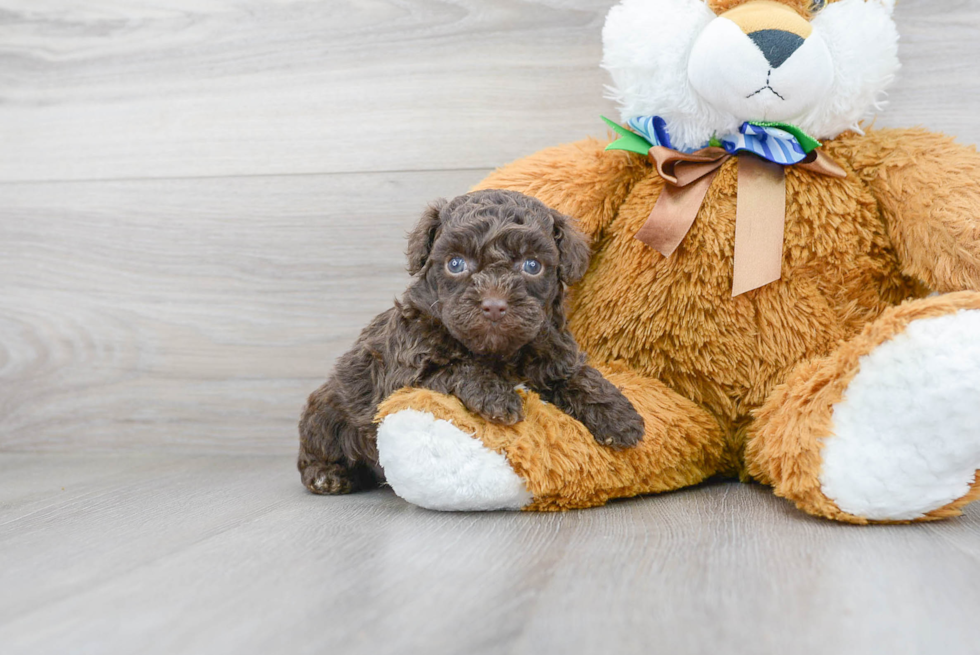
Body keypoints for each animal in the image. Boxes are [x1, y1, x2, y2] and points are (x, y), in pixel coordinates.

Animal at [298, 187, 652, 494]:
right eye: (456, 264)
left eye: (532, 265)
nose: (494, 304)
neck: (498, 353)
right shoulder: (405, 375)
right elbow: (457, 368)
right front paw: (496, 395)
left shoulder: (553, 352)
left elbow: (578, 376)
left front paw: (618, 415)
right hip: (326, 409)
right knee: (316, 447)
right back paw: (327, 475)